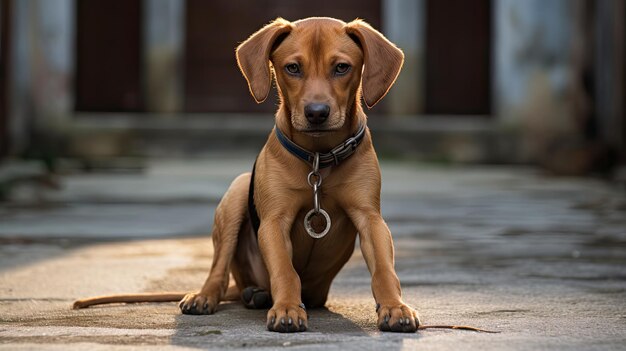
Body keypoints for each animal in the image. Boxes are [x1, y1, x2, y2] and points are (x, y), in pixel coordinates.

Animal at [75, 17, 422, 336]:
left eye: (341, 68)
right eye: (292, 68)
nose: (316, 113)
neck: (318, 157)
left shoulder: (370, 218)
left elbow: (384, 270)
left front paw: (395, 307)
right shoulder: (274, 222)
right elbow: (284, 270)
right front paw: (287, 308)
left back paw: (259, 295)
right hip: (238, 192)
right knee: (219, 270)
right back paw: (214, 296)